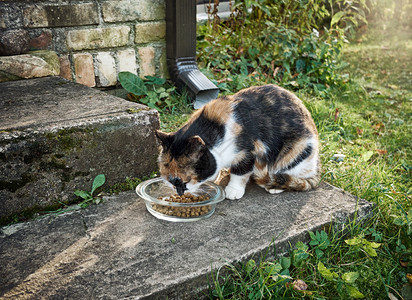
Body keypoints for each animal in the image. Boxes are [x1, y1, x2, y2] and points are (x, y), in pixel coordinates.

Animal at [156, 84, 320, 199]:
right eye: (170, 181)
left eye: (185, 182)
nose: (180, 194)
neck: (215, 127)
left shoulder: (249, 151)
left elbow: (240, 172)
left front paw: (233, 190)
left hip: (297, 151)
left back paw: (275, 187)